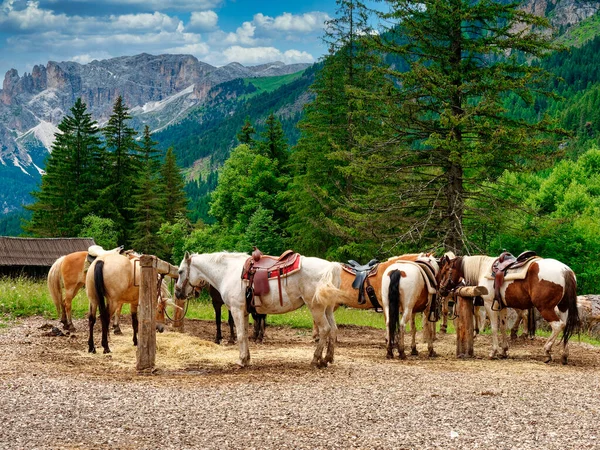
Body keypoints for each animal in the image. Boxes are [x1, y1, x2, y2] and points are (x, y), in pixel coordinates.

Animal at [175, 251, 342, 368]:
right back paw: (327, 359)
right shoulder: (244, 312)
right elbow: (245, 334)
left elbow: (240, 335)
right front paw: (247, 359)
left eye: (181, 271)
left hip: (316, 308)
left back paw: (316, 360)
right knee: (333, 329)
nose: (177, 292)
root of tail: (331, 267)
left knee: (325, 329)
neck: (228, 272)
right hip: (328, 308)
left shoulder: (236, 310)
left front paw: (241, 360)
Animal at [438, 255, 580, 364]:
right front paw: (504, 351)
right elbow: (503, 327)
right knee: (566, 326)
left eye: (445, 271)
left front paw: (493, 352)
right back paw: (564, 355)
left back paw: (547, 351)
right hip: (563, 307)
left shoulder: (490, 305)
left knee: (558, 325)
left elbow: (494, 328)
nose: (441, 290)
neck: (483, 269)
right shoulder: (502, 306)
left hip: (545, 308)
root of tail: (565, 270)